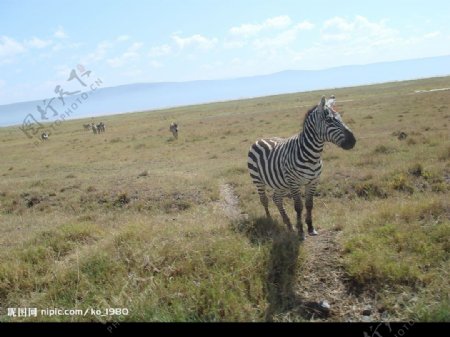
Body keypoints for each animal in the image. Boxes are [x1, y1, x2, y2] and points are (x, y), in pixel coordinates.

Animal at [246, 94, 356, 239]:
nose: (353, 141)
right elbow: (298, 206)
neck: (312, 156)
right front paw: (301, 231)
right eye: (329, 120)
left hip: (280, 183)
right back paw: (269, 220)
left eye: (340, 117)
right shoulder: (294, 183)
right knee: (264, 200)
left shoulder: (313, 181)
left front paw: (310, 227)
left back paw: (288, 224)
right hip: (258, 180)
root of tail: (259, 139)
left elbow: (309, 205)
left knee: (277, 199)